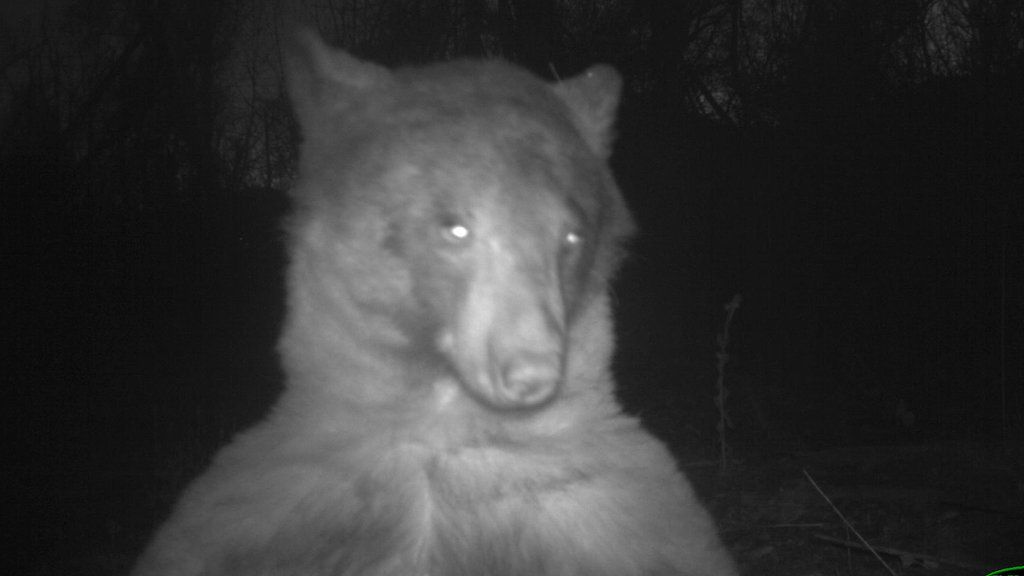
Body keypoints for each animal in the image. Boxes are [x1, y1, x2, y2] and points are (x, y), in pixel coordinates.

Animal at [131, 28, 739, 576]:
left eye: (571, 237)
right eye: (455, 228)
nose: (530, 370)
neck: (444, 427)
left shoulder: (621, 509)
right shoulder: (261, 513)